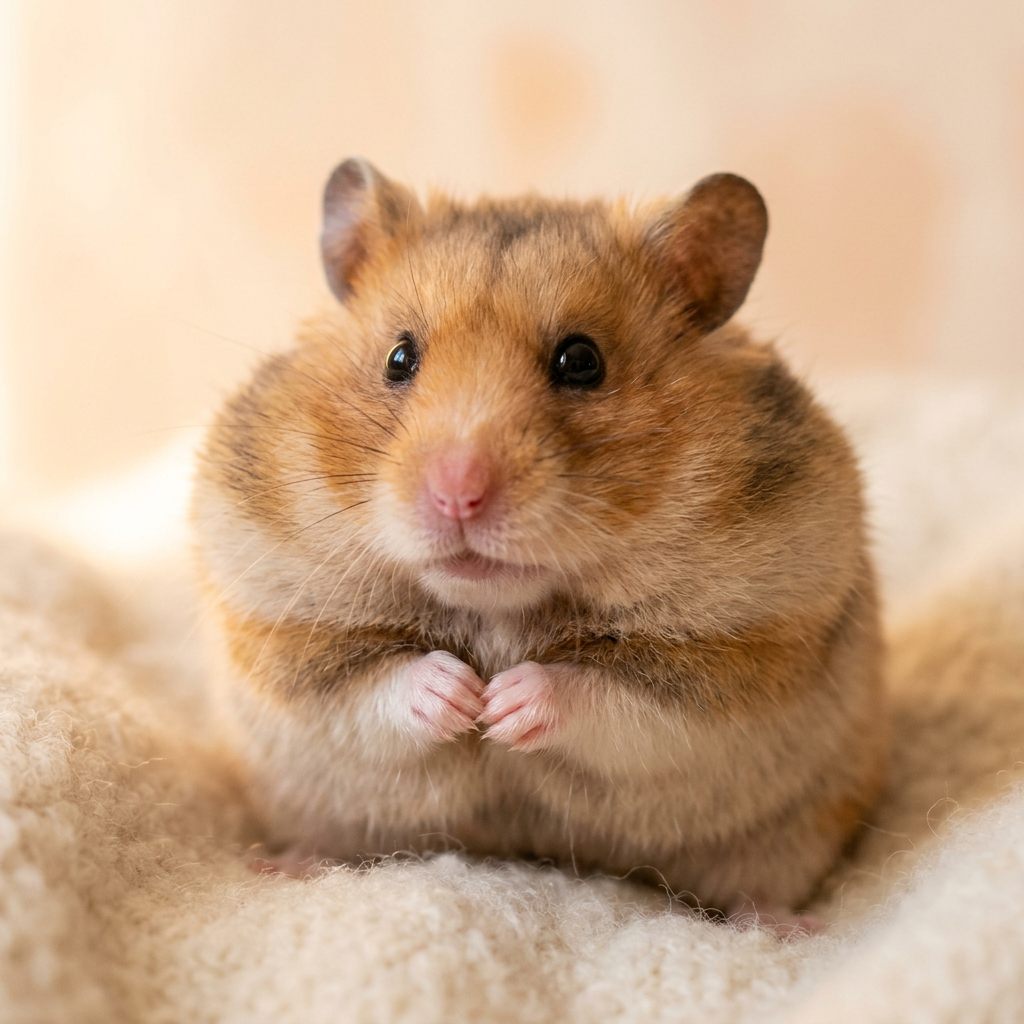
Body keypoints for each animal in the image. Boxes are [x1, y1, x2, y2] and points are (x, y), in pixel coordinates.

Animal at [192, 158, 886, 925]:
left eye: (581, 361)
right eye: (399, 358)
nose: (458, 494)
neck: (498, 607)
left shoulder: (738, 658)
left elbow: (604, 696)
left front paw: (502, 706)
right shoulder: (280, 636)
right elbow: (381, 686)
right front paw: (464, 698)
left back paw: (781, 925)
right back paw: (286, 864)